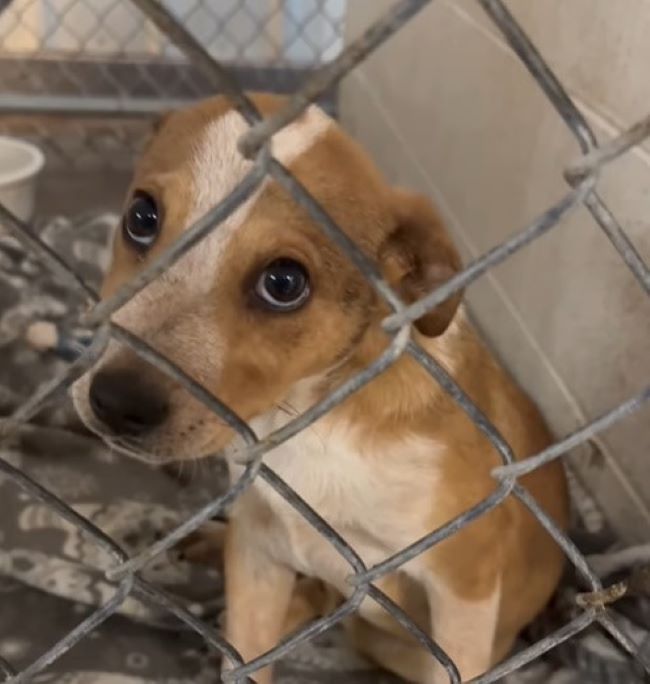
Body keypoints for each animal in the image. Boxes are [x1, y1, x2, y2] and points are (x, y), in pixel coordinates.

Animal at [72, 95, 568, 684]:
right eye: (141, 218)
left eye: (284, 283)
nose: (116, 402)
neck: (314, 423)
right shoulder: (259, 551)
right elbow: (247, 655)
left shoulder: (464, 579)